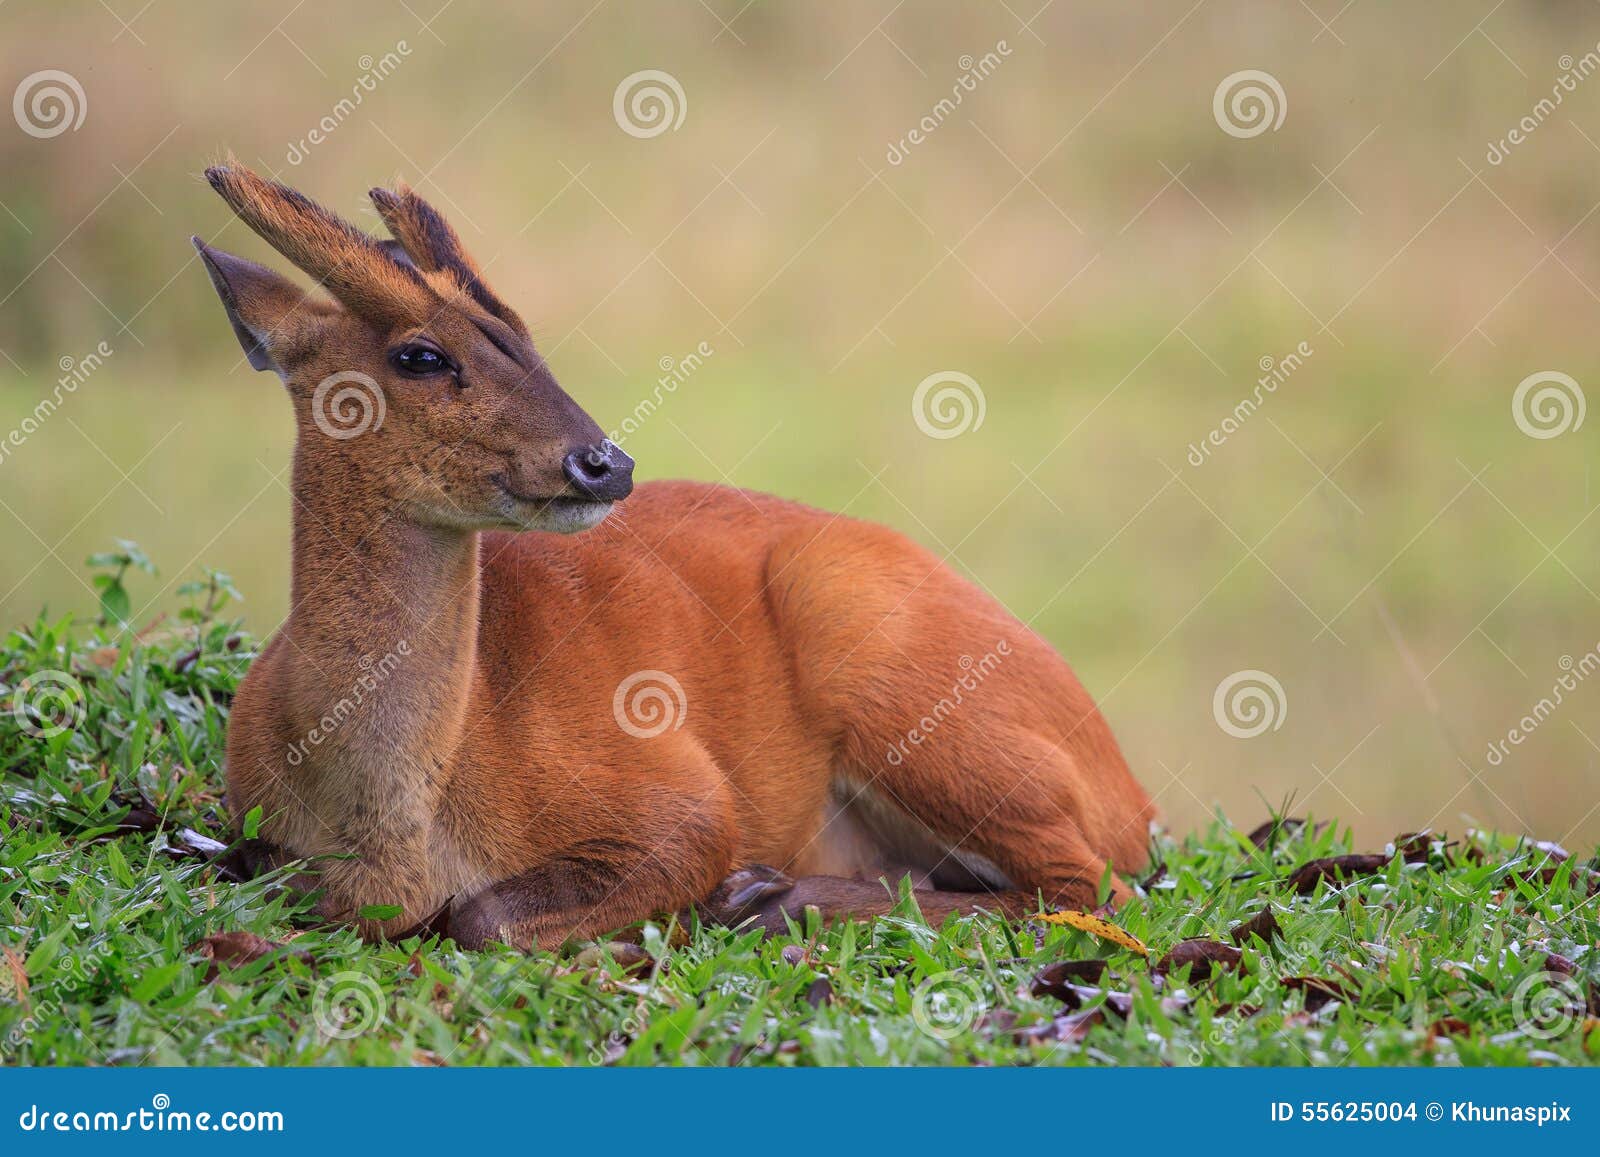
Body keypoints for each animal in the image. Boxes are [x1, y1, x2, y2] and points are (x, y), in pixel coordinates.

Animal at [194, 161, 1157, 951]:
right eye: (420, 354)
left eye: (522, 333)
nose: (603, 461)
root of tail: (1134, 795)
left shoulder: (681, 794)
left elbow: (484, 916)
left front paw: (706, 903)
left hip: (906, 683)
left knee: (1090, 887)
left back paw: (765, 896)